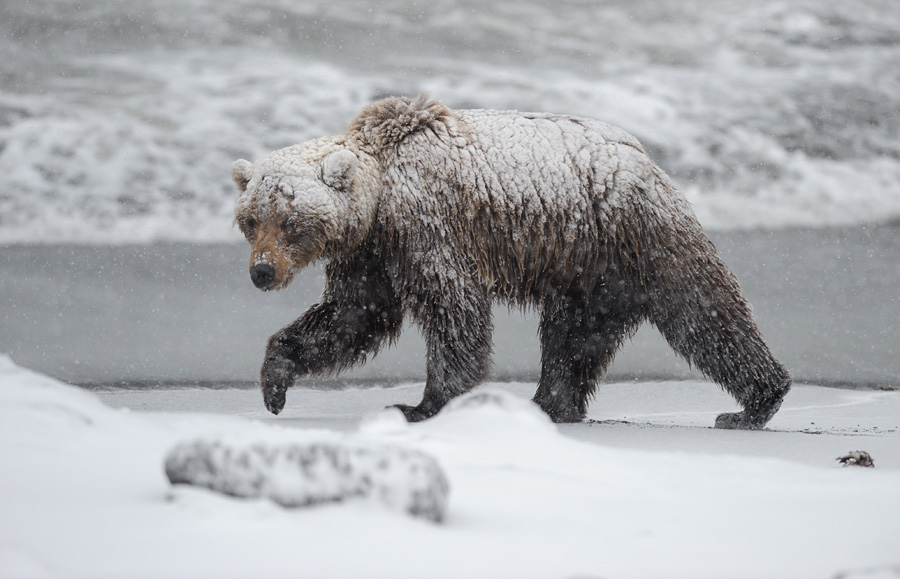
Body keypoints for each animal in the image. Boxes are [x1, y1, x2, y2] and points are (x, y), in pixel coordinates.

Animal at [234, 94, 796, 430]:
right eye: (251, 219)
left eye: (289, 220)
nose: (262, 272)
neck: (380, 196)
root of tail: (648, 157)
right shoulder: (371, 253)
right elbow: (352, 315)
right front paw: (275, 381)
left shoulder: (427, 225)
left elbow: (452, 309)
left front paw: (422, 404)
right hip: (589, 269)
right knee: (574, 335)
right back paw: (550, 404)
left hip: (636, 233)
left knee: (703, 313)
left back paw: (753, 402)